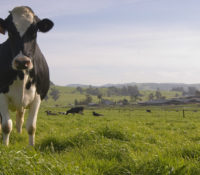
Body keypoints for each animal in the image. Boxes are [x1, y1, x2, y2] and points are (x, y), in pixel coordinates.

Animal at [0, 6, 53, 146]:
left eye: (34, 32)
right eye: (10, 32)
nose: (22, 62)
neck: (21, 76)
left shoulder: (38, 96)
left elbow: (31, 126)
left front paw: (31, 147)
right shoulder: (1, 95)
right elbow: (6, 125)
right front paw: (5, 146)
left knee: (20, 119)